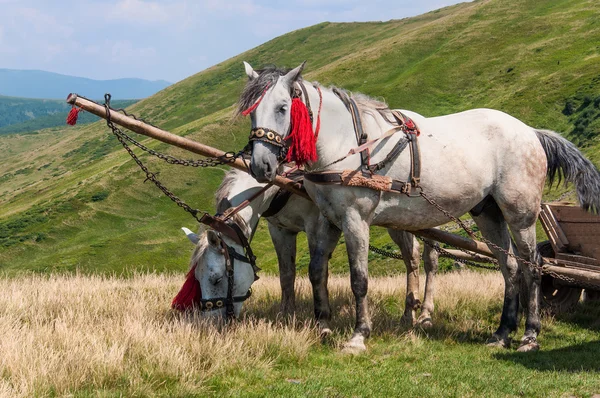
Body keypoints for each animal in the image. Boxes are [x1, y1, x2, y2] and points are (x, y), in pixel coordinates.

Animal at [177, 168, 436, 330]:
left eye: (217, 279)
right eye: (196, 279)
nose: (210, 324)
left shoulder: (316, 224)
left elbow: (318, 270)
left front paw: (321, 315)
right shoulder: (280, 230)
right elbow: (286, 275)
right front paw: (286, 315)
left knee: (421, 258)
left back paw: (419, 313)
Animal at [245, 61, 600, 352]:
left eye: (282, 108)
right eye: (251, 111)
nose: (261, 166)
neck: (348, 141)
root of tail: (531, 132)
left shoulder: (356, 220)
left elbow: (359, 279)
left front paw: (359, 335)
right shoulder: (328, 221)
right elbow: (317, 271)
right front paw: (323, 326)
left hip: (521, 214)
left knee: (533, 266)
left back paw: (530, 335)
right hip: (488, 214)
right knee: (509, 267)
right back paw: (501, 333)